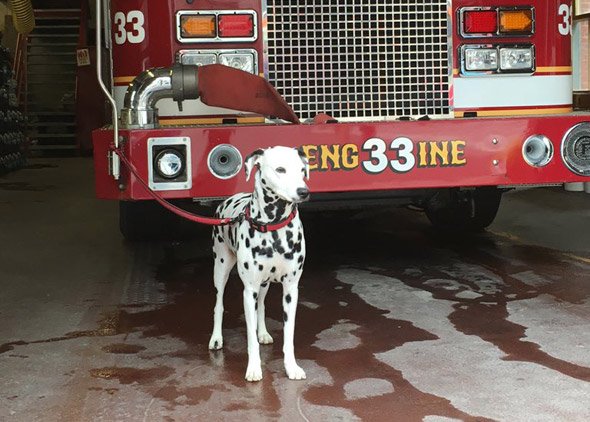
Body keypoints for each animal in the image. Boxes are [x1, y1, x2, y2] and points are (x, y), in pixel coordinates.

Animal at [209, 146, 310, 382]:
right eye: (280, 169)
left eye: (302, 170)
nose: (304, 191)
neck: (274, 227)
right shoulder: (249, 290)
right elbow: (250, 338)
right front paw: (254, 368)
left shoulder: (291, 290)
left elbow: (288, 334)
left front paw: (291, 367)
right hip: (221, 268)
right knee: (219, 303)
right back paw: (216, 338)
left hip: (264, 284)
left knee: (261, 306)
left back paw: (262, 332)